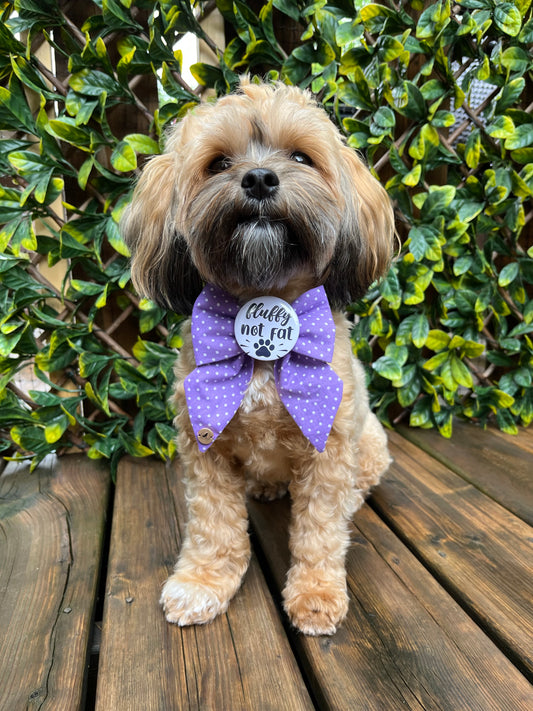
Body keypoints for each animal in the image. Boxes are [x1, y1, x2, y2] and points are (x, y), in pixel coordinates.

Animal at [121, 78, 394, 636]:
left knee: (357, 486)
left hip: (370, 442)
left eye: (301, 157)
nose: (260, 178)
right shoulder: (205, 449)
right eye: (219, 163)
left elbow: (319, 531)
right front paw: (201, 584)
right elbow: (213, 526)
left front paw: (316, 594)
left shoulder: (329, 452)